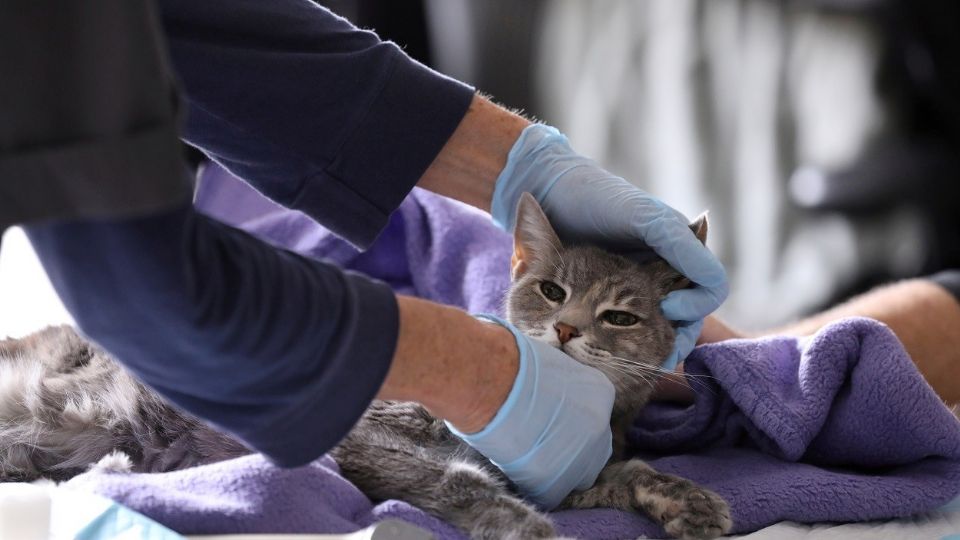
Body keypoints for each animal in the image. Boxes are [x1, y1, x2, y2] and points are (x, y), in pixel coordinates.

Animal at [0, 194, 732, 540]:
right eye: (552, 291)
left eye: (621, 318)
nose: (566, 326)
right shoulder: (366, 436)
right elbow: (457, 481)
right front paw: (521, 525)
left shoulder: (565, 475)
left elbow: (627, 473)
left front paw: (689, 501)